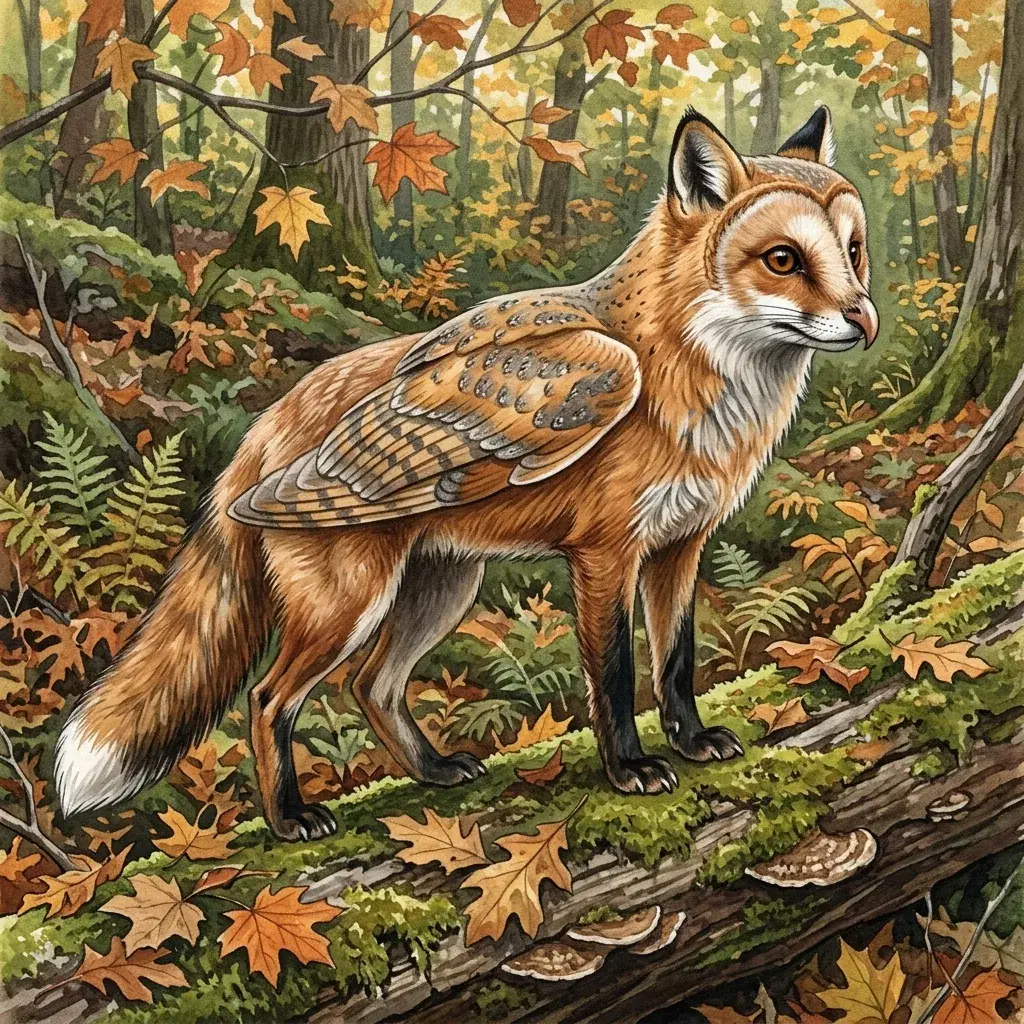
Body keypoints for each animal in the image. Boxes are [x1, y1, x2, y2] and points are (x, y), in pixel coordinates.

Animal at [55, 106, 878, 842]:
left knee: (372, 686)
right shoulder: (605, 554)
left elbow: (675, 663)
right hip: (349, 603)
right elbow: (614, 676)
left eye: (855, 252)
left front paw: (692, 740)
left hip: (442, 590)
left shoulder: (680, 545)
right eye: (784, 260)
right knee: (267, 699)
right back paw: (288, 817)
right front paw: (629, 769)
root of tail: (273, 420)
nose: (866, 321)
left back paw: (430, 771)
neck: (679, 375)